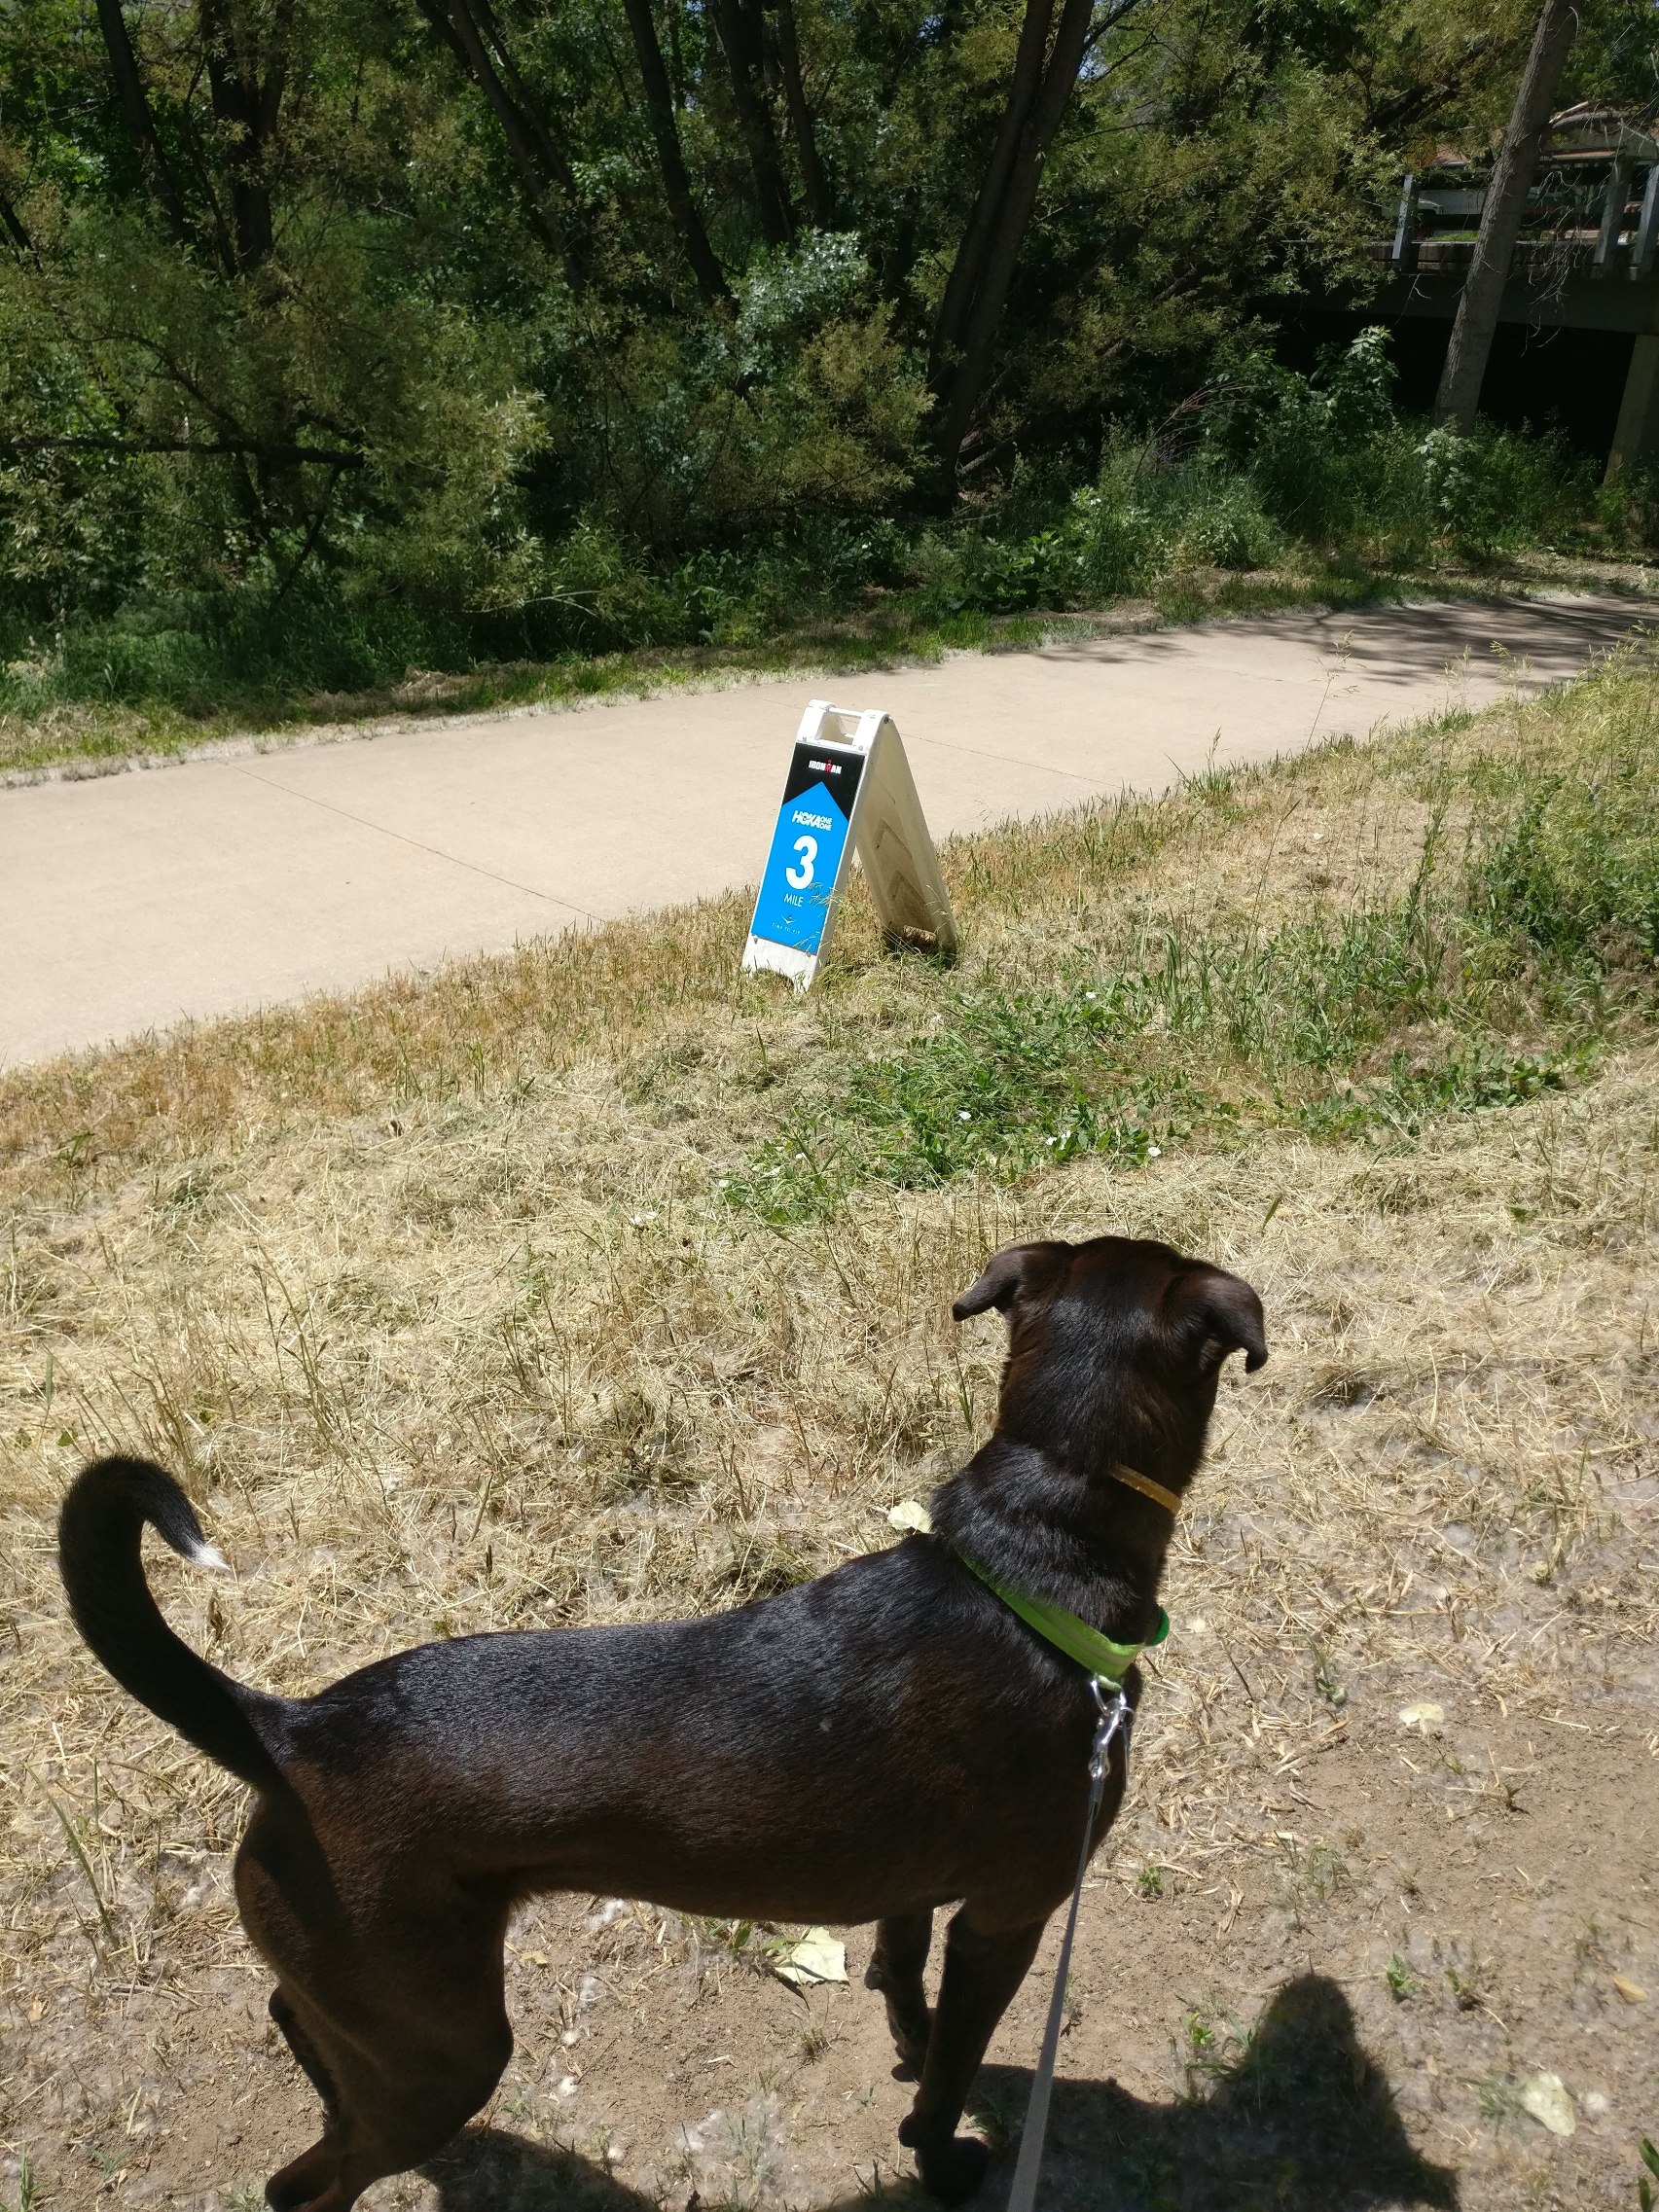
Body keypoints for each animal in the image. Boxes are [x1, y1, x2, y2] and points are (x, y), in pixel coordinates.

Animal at [58, 1233, 1266, 2211]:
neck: (1031, 1554)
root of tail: (292, 1728)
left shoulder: (916, 1888)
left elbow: (900, 1972)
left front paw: (904, 2037)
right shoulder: (1007, 1919)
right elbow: (950, 2073)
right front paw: (942, 2157)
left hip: (377, 2011)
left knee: (296, 2025)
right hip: (443, 2051)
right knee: (301, 2185)